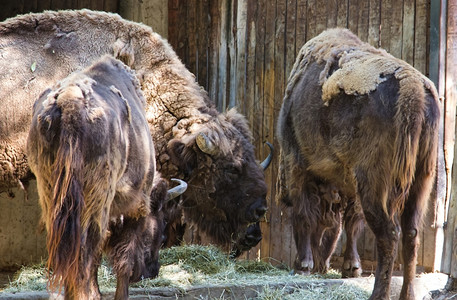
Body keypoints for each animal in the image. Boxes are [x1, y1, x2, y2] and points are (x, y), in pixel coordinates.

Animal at [25, 55, 185, 298]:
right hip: (94, 201)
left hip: (51, 194)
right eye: (163, 220)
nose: (152, 271)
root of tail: (70, 101)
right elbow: (123, 261)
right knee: (86, 250)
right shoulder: (137, 208)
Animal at [276, 28, 440, 300]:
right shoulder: (350, 183)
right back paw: (406, 294)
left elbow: (305, 214)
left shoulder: (296, 163)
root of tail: (413, 87)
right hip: (421, 182)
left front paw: (302, 266)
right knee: (410, 235)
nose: (321, 265)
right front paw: (351, 268)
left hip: (375, 185)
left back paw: (378, 294)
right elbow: (352, 223)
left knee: (389, 234)